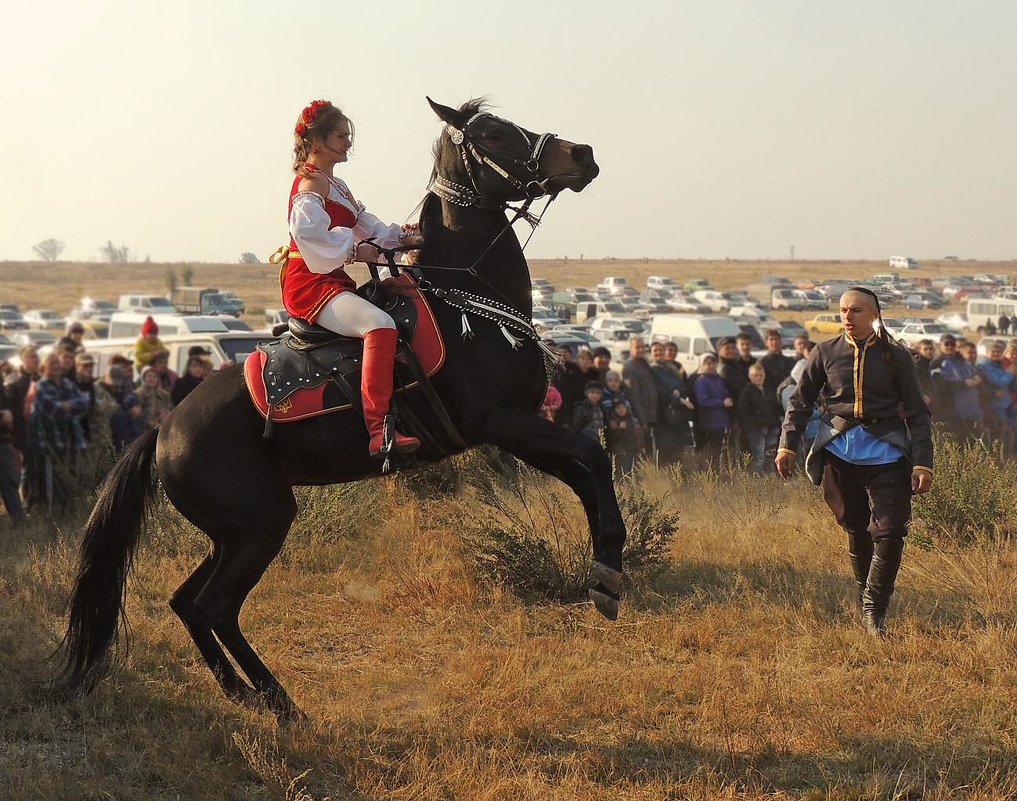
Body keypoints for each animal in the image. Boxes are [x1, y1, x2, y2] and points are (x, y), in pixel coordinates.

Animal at [61, 97, 626, 715]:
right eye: (495, 134)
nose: (583, 155)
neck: (467, 302)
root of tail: (164, 430)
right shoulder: (505, 423)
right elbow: (592, 456)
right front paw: (609, 567)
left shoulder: (518, 427)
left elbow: (586, 471)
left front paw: (605, 571)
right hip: (261, 525)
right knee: (215, 606)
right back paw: (280, 704)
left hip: (231, 532)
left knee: (187, 602)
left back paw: (242, 693)